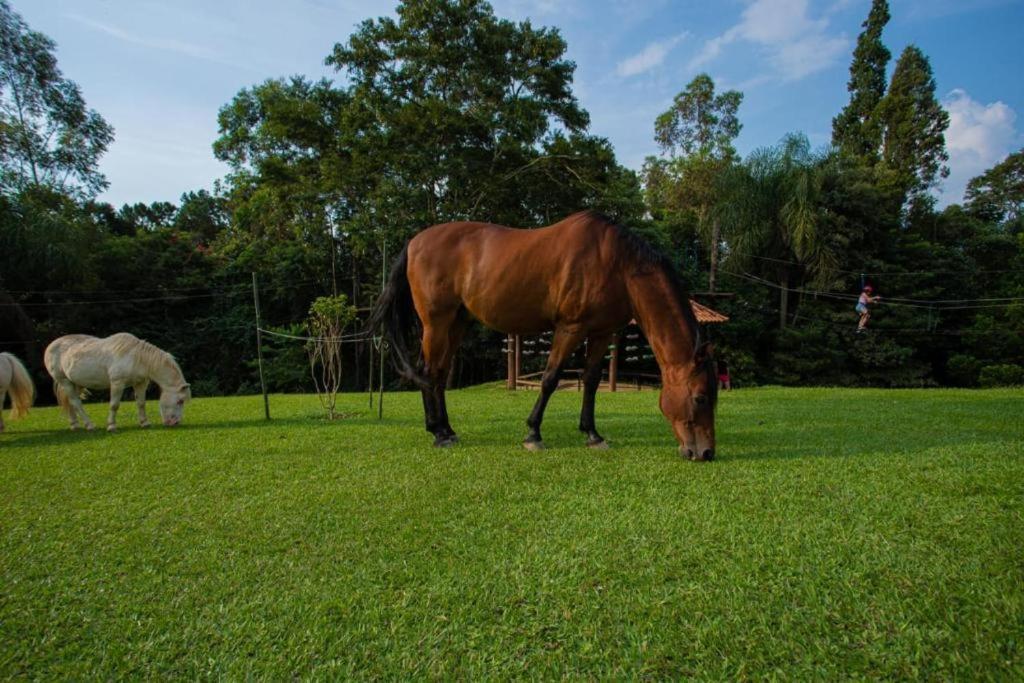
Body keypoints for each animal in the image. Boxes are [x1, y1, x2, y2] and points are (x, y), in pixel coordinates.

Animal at [44, 331, 192, 432]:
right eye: (180, 401)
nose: (175, 422)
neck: (137, 357)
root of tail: (51, 345)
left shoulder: (140, 383)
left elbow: (141, 403)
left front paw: (144, 423)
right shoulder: (117, 383)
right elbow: (114, 405)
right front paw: (111, 426)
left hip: (76, 383)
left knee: (70, 403)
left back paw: (75, 425)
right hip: (64, 381)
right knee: (76, 403)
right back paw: (89, 425)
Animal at [370, 210, 720, 462]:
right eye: (700, 397)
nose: (705, 452)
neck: (617, 265)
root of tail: (414, 243)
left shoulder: (602, 332)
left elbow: (591, 381)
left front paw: (592, 435)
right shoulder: (570, 328)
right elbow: (550, 378)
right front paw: (533, 435)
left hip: (457, 322)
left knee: (439, 374)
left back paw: (446, 429)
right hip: (437, 323)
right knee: (429, 372)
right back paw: (439, 434)